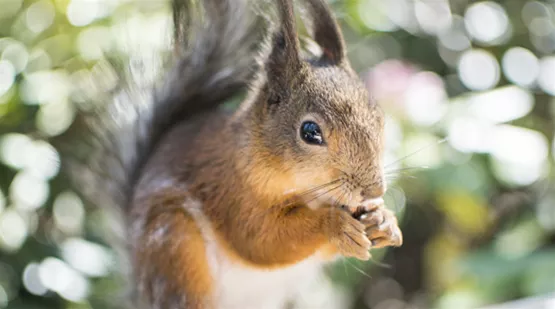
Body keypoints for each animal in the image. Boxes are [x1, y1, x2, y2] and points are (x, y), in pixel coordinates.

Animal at [57, 0, 404, 308]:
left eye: (378, 115)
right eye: (310, 132)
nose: (374, 189)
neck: (311, 191)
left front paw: (385, 220)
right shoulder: (230, 191)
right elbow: (261, 240)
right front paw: (334, 225)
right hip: (174, 248)